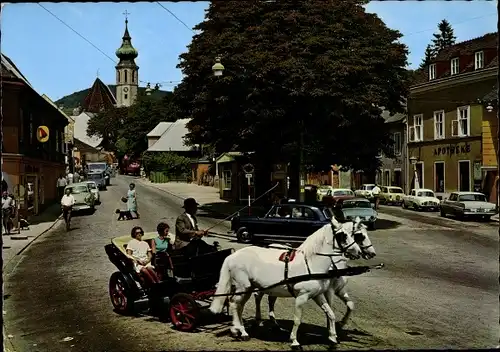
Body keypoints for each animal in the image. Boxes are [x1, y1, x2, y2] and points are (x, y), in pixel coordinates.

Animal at [209, 219, 362, 348]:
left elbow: (330, 313)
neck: (311, 263)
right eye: (342, 235)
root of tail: (232, 256)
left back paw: (238, 329)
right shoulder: (301, 297)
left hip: (249, 287)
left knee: (238, 305)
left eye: (352, 234)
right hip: (244, 286)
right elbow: (297, 319)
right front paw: (294, 341)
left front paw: (333, 338)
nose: (358, 252)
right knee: (235, 304)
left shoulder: (317, 295)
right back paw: (242, 332)